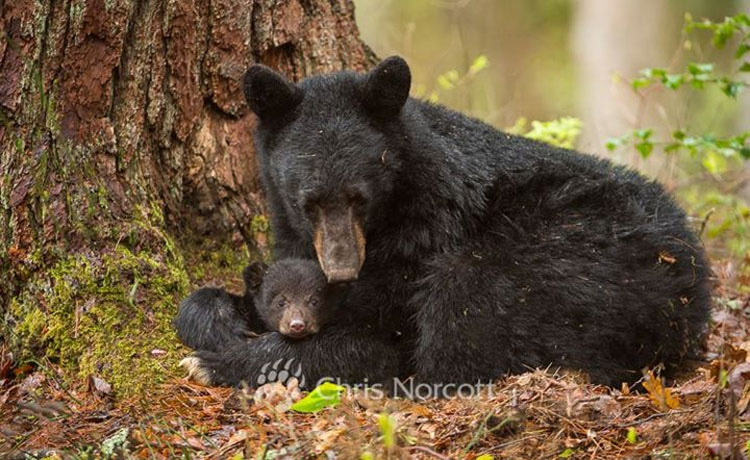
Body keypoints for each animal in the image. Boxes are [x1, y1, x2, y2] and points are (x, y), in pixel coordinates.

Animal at [179, 55, 712, 390]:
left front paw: (217, 361)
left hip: (574, 263)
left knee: (465, 308)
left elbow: (377, 337)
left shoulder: (424, 238)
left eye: (359, 198)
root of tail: (698, 291)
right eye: (308, 200)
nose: (342, 270)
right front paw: (215, 316)